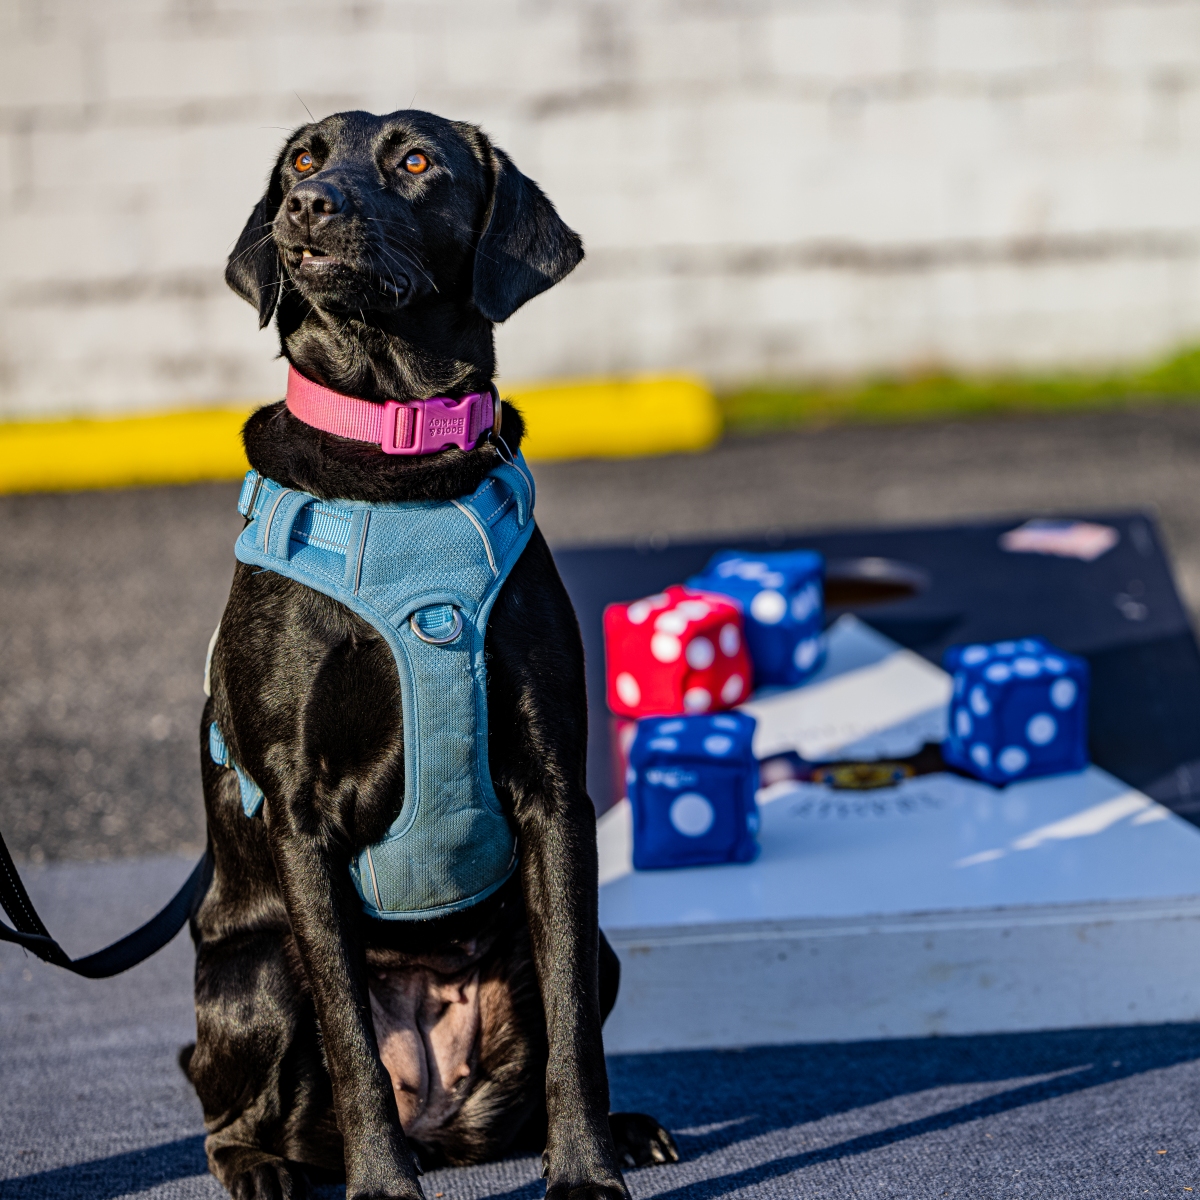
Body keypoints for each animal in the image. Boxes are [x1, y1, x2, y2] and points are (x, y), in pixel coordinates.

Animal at [184, 109, 677, 1200]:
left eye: (415, 162)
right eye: (303, 158)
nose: (307, 206)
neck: (397, 449)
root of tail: (446, 1122)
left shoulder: (553, 796)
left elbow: (575, 1031)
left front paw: (587, 1171)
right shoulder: (298, 820)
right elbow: (350, 1043)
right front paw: (380, 1186)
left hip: (589, 950)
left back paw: (623, 1130)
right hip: (258, 976)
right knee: (225, 1105)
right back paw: (265, 1168)